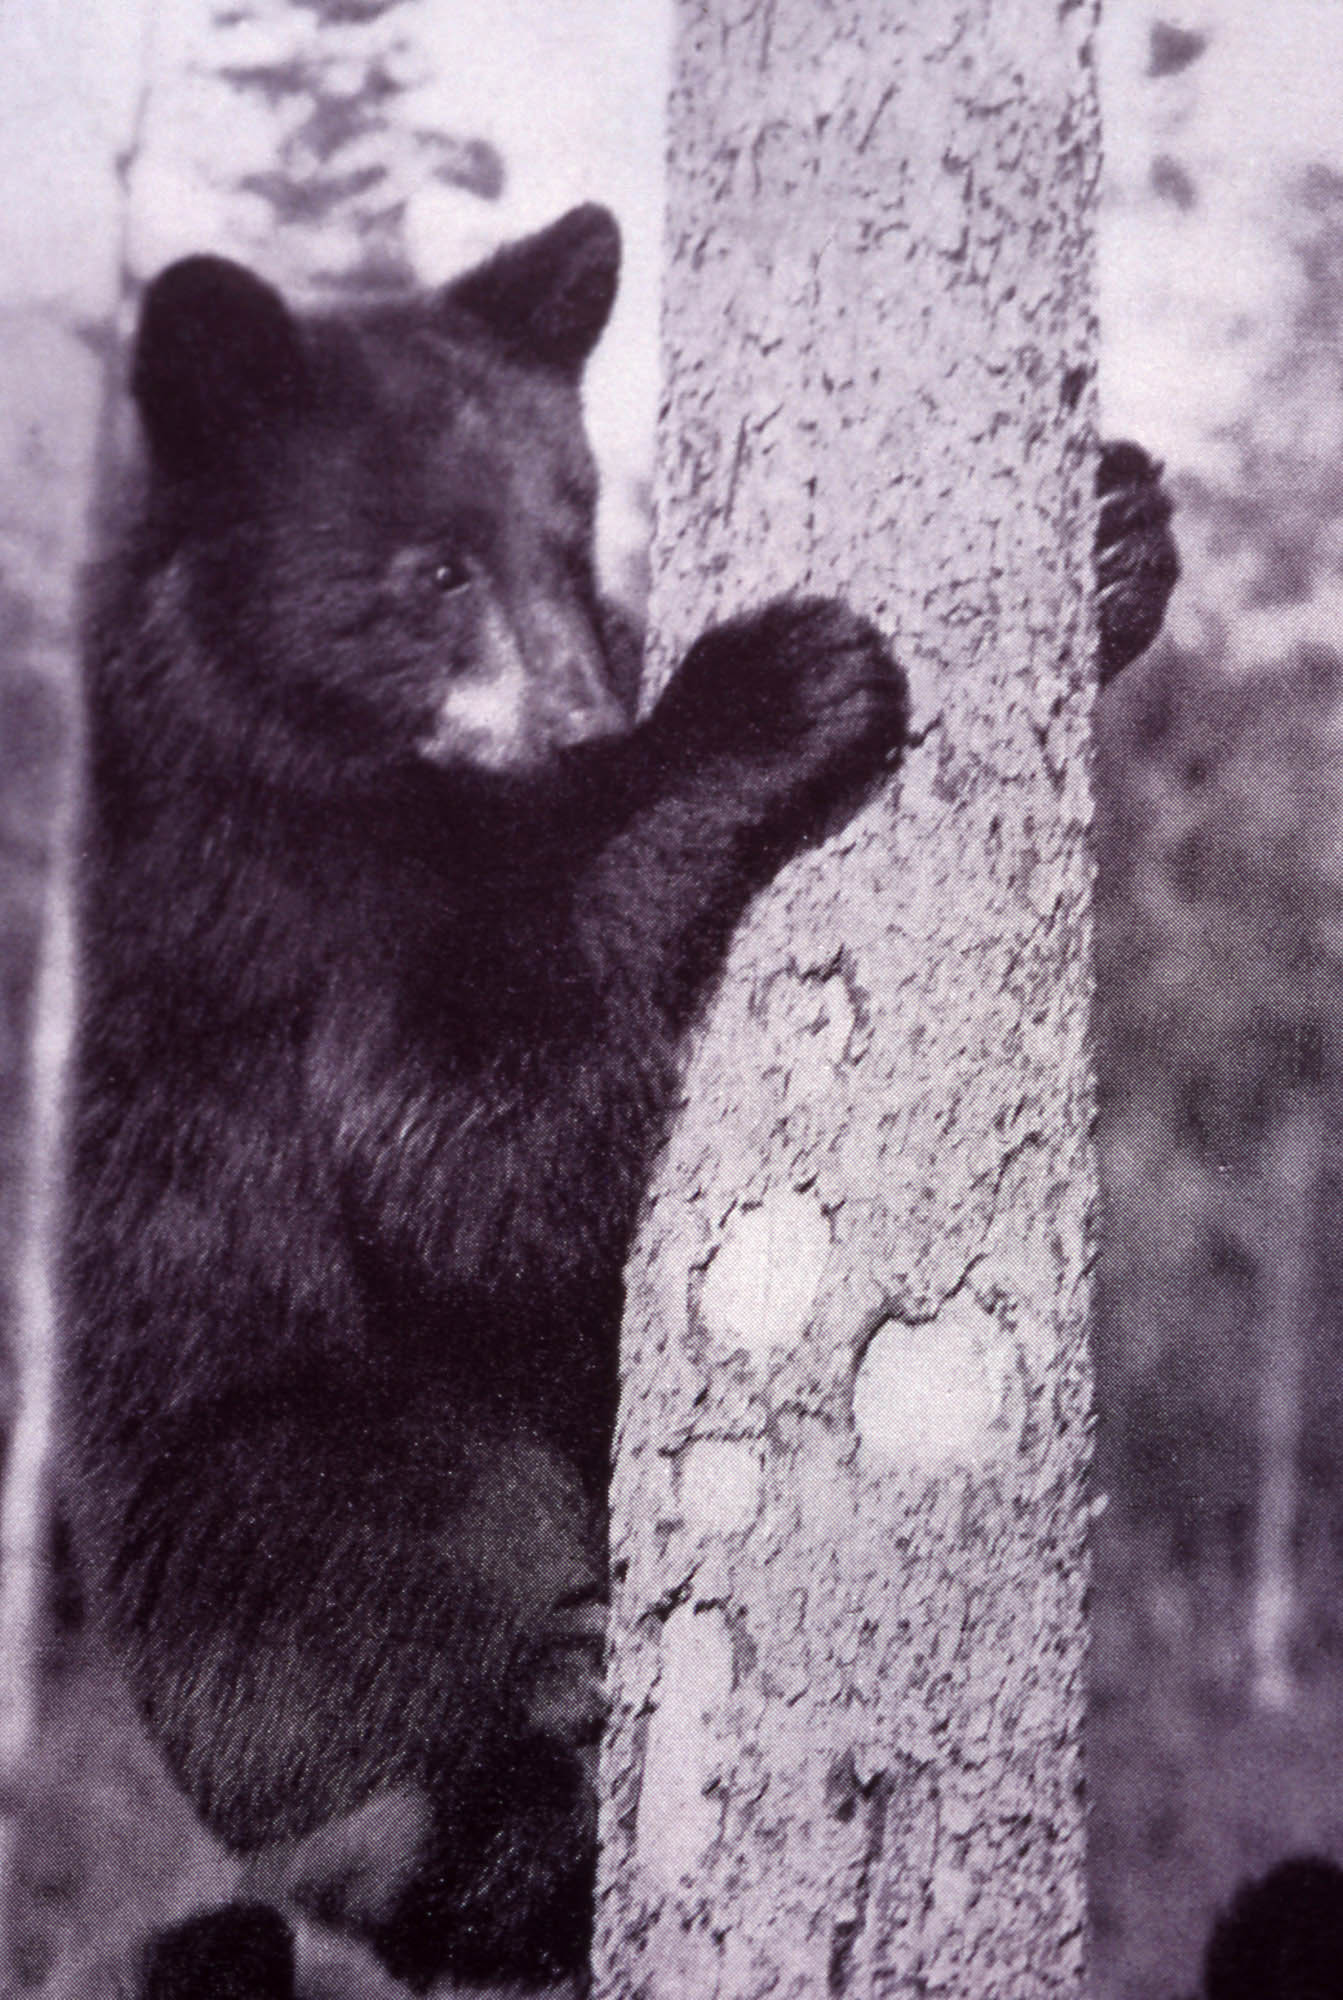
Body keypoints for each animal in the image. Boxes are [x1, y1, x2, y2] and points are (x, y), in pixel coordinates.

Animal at [61, 202, 1177, 1998]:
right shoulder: (281, 925)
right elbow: (457, 1151)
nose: (583, 705)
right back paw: (547, 1724)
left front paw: (1115, 531)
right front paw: (761, 688)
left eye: (568, 541)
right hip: (261, 1520)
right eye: (435, 568)